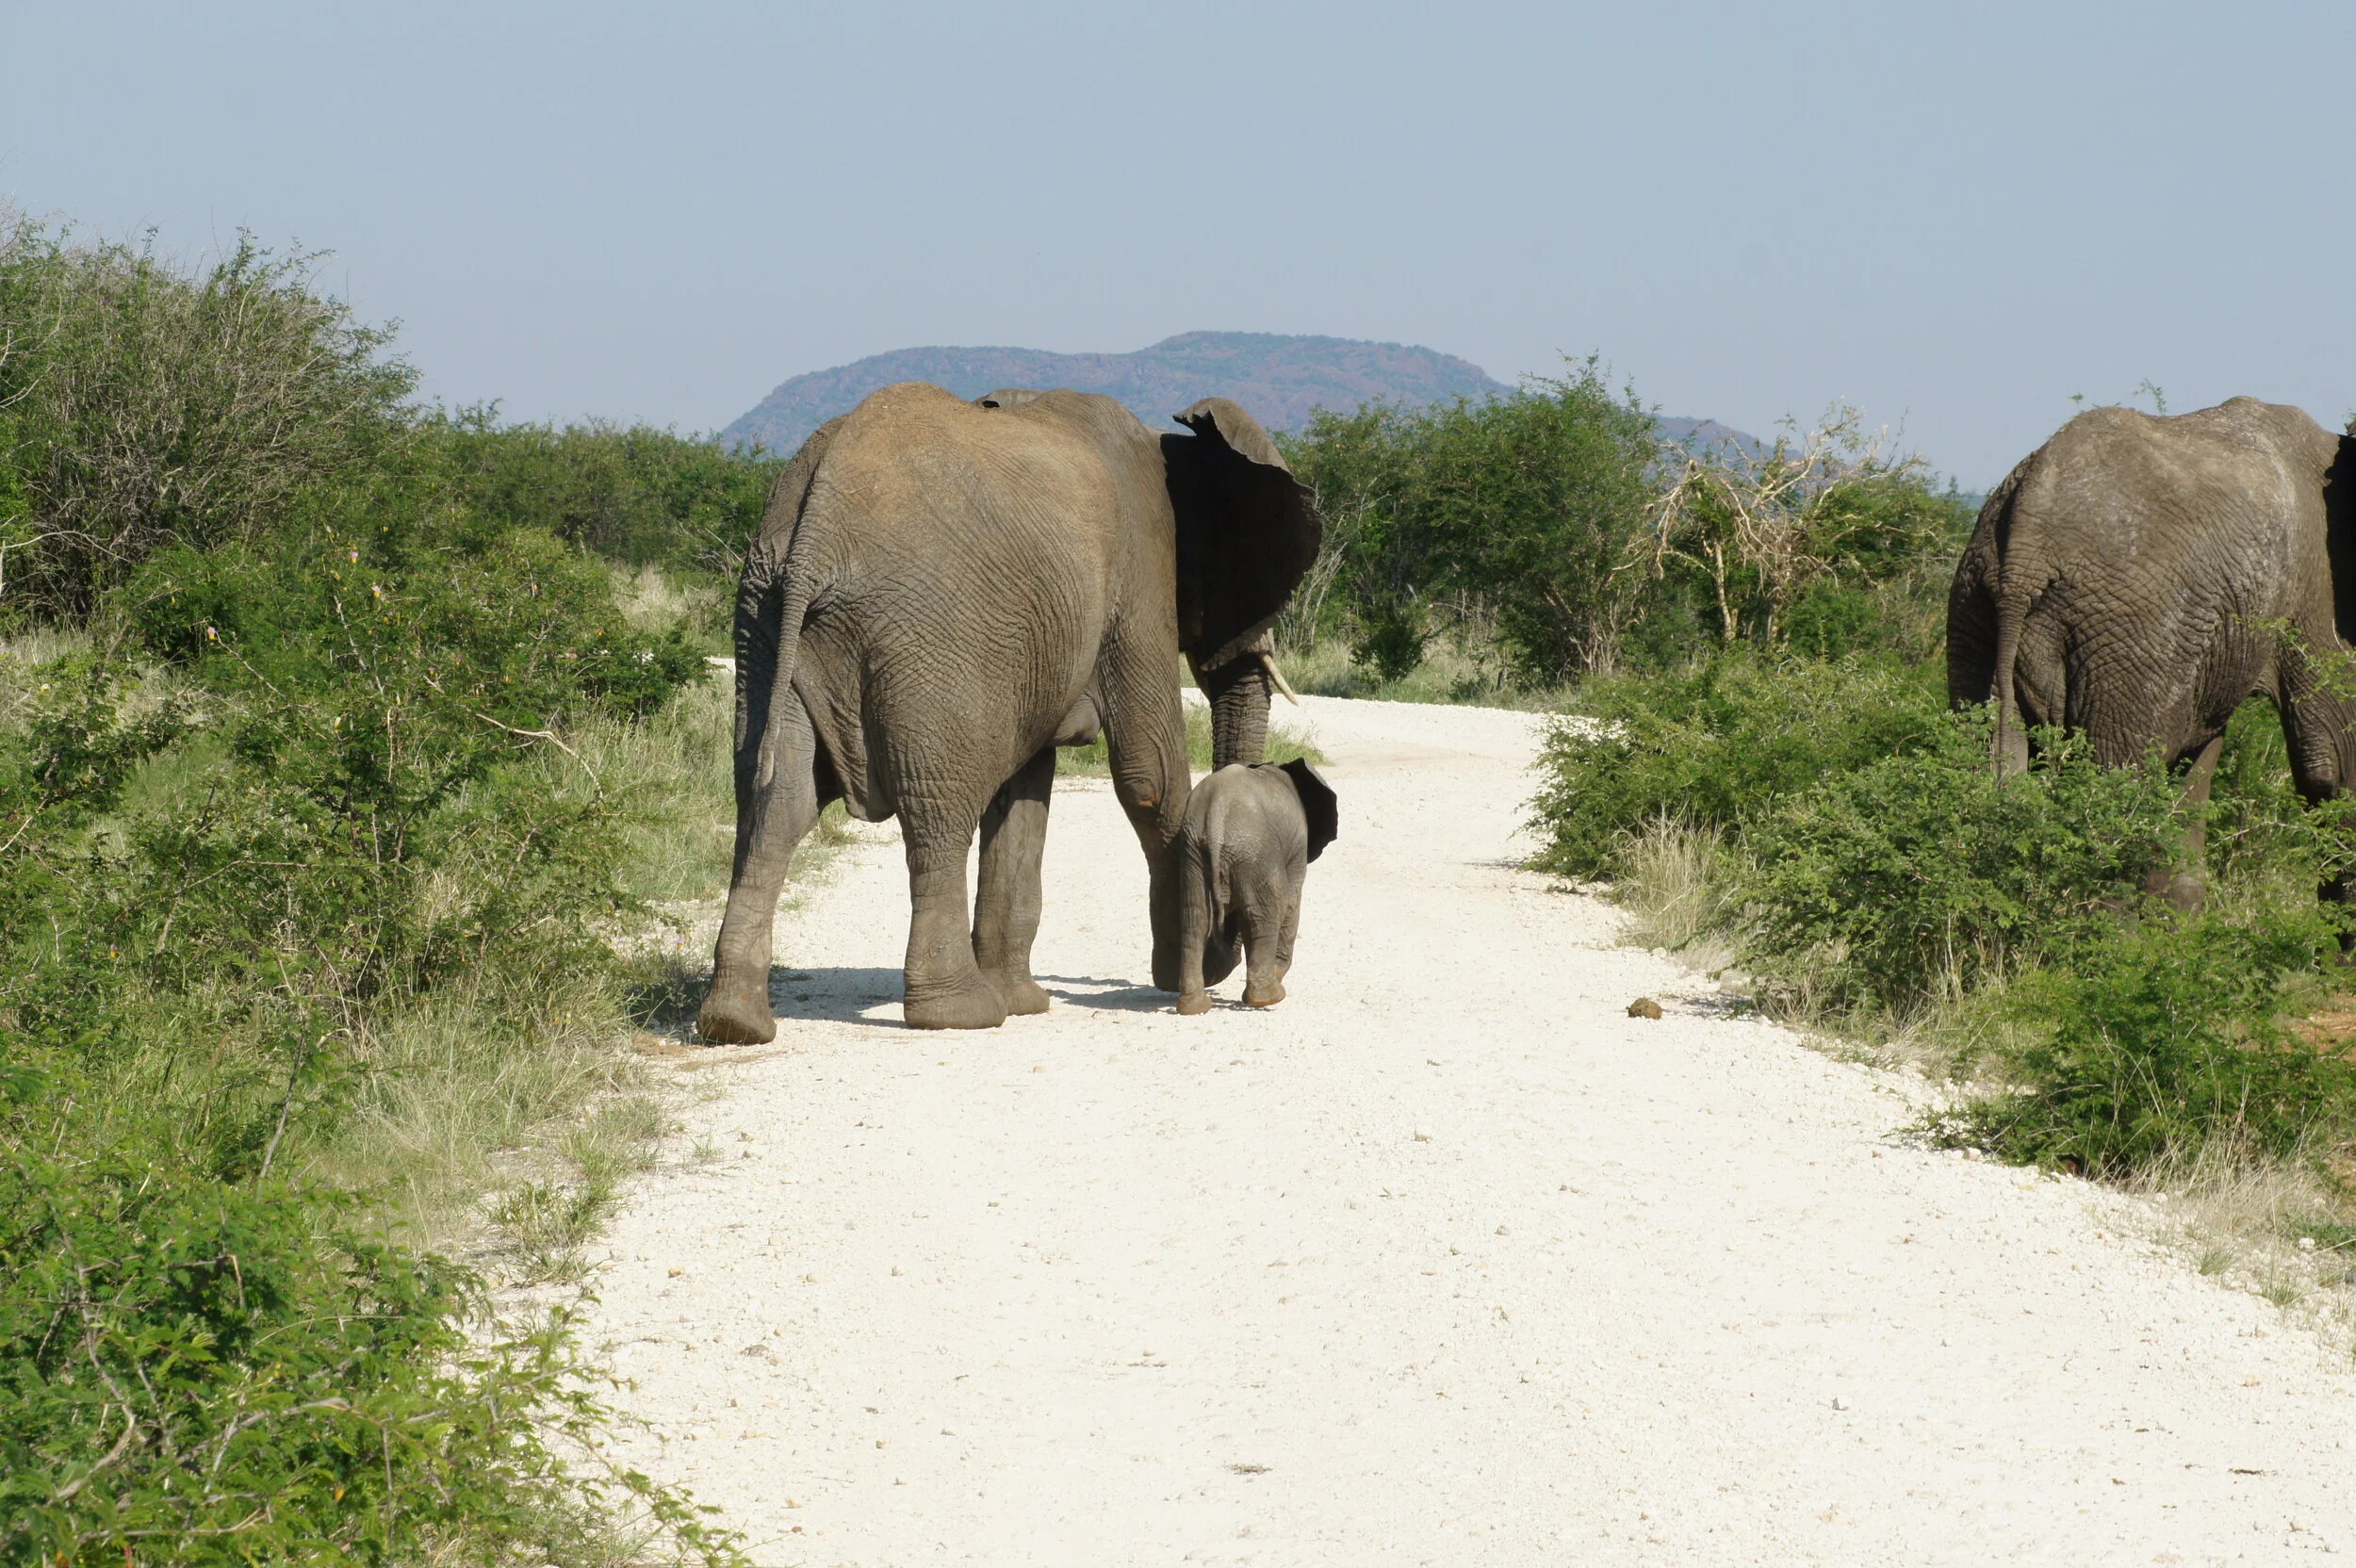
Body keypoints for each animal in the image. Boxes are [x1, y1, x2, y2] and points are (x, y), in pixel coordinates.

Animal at [1173, 759, 1338, 1015]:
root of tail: (1215, 816)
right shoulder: (1297, 845)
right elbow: (1291, 903)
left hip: (1194, 852)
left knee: (1195, 918)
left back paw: (1194, 1007)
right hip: (1255, 850)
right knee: (1267, 912)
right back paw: (1269, 998)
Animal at [1947, 395, 2356, 906]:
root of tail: (2025, 542)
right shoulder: (2317, 596)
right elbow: (2334, 764)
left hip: (1975, 608)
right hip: (2135, 633)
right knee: (2117, 789)